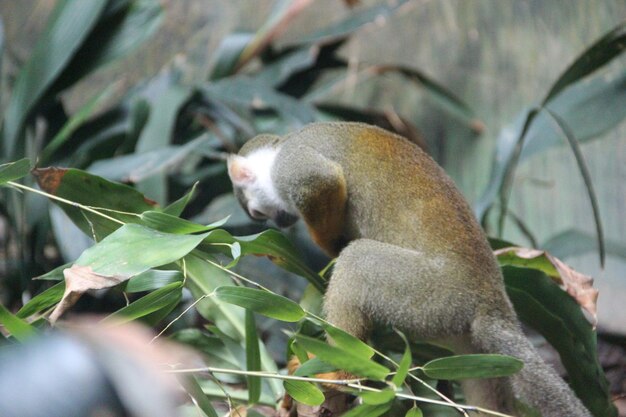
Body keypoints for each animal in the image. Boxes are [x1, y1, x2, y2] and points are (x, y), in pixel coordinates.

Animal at [225, 122, 588, 414]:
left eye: (256, 214)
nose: (280, 222)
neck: (279, 147)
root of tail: (491, 299)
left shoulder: (290, 165)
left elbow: (320, 182)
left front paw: (329, 242)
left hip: (432, 293)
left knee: (358, 262)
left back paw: (342, 371)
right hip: (463, 338)